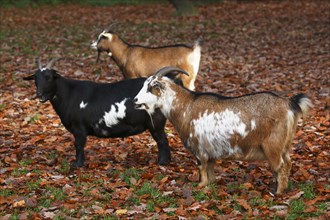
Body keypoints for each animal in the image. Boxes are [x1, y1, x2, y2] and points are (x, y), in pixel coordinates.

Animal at [24, 58, 171, 167]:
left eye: (49, 77)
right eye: (35, 79)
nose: (39, 95)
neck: (69, 94)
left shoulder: (79, 128)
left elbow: (78, 145)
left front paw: (77, 165)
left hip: (155, 122)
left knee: (162, 141)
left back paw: (162, 163)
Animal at [133, 67, 312, 194]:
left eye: (151, 87)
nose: (135, 100)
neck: (186, 106)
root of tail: (289, 103)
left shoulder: (199, 148)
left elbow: (202, 167)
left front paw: (201, 186)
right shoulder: (211, 151)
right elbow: (210, 169)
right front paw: (211, 184)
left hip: (272, 145)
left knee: (280, 167)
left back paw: (278, 193)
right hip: (285, 145)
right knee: (287, 163)